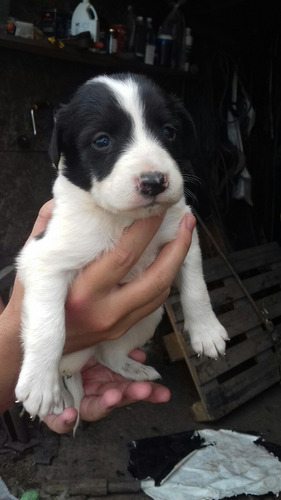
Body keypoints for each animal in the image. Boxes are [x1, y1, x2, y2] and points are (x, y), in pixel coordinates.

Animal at [14, 73, 228, 426]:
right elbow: (48, 326)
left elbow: (196, 287)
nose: (154, 181)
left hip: (146, 317)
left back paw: (135, 370)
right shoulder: (43, 259)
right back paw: (59, 394)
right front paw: (40, 385)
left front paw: (206, 330)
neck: (122, 219)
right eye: (102, 141)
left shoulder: (184, 234)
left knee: (109, 354)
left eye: (168, 132)